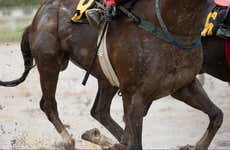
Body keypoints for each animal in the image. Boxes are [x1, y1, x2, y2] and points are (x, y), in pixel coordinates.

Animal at [0, 0, 223, 149]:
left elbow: (217, 116)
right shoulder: (136, 95)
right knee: (49, 105)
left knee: (100, 111)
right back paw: (69, 140)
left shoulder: (183, 85)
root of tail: (36, 18)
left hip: (106, 78)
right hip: (49, 63)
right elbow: (134, 143)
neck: (172, 26)